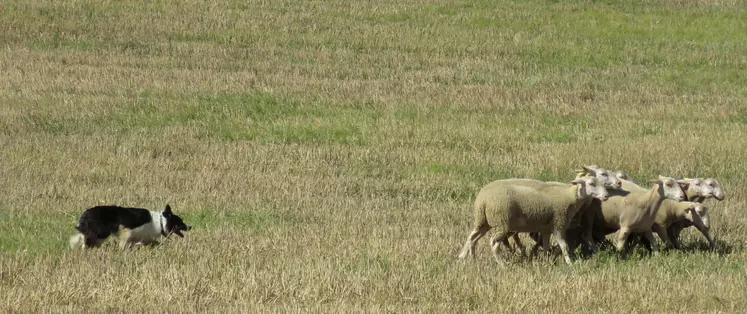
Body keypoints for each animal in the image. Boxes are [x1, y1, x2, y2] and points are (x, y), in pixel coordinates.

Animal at [458, 177, 612, 264]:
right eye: (591, 183)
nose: (606, 196)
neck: (570, 196)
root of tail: (482, 200)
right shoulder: (558, 224)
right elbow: (564, 246)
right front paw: (569, 262)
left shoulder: (546, 228)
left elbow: (546, 245)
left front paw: (547, 261)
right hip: (502, 222)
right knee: (494, 243)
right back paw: (502, 264)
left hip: (483, 221)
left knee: (472, 238)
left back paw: (470, 259)